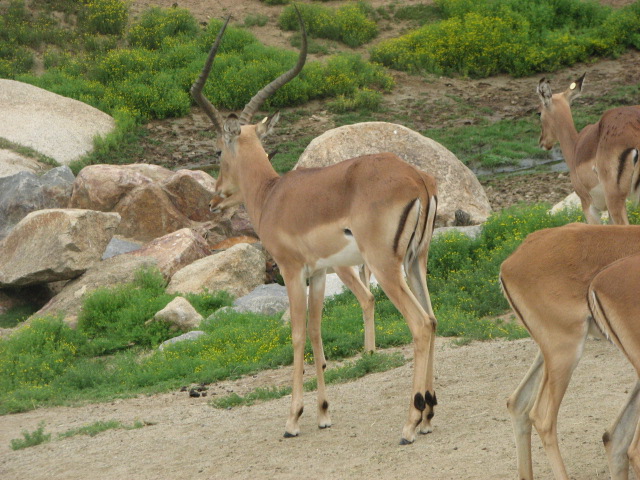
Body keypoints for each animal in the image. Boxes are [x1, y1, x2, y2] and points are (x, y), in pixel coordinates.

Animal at [192, 13, 439, 444]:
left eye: (218, 150)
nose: (214, 201)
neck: (272, 194)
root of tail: (418, 179)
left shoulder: (292, 271)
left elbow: (295, 334)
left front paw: (293, 420)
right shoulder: (321, 273)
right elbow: (317, 331)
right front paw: (324, 413)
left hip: (386, 268)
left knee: (421, 324)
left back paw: (409, 424)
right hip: (415, 262)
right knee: (434, 317)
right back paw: (426, 417)